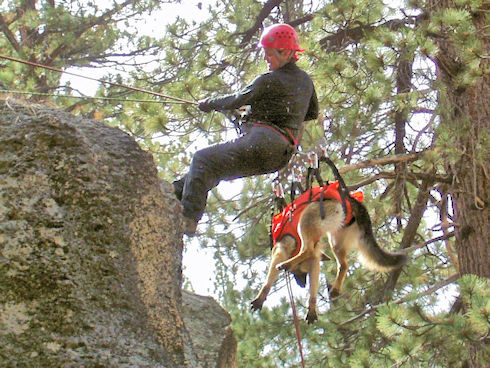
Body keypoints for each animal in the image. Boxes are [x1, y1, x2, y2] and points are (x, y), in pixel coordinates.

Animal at [251, 196, 408, 322]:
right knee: (344, 264)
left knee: (307, 249)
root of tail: (352, 201)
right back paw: (336, 287)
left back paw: (287, 263)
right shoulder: (315, 259)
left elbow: (269, 278)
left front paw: (262, 295)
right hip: (336, 238)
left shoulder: (282, 249)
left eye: (299, 273)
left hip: (309, 216)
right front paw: (312, 306)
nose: (302, 284)